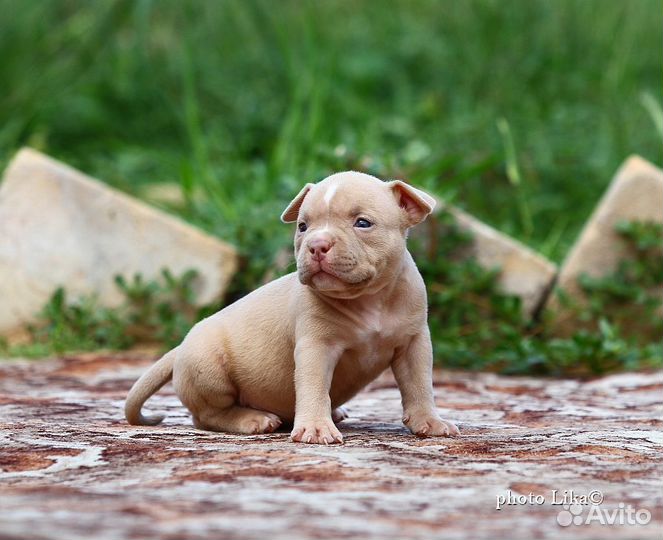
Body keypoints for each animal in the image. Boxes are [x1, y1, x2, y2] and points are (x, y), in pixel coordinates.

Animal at [127, 172, 462, 442]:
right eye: (302, 226)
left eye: (363, 223)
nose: (316, 244)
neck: (368, 299)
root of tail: (179, 348)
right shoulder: (316, 347)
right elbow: (313, 386)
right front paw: (315, 427)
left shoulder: (413, 342)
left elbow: (419, 385)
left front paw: (430, 421)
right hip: (208, 369)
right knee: (206, 416)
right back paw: (253, 419)